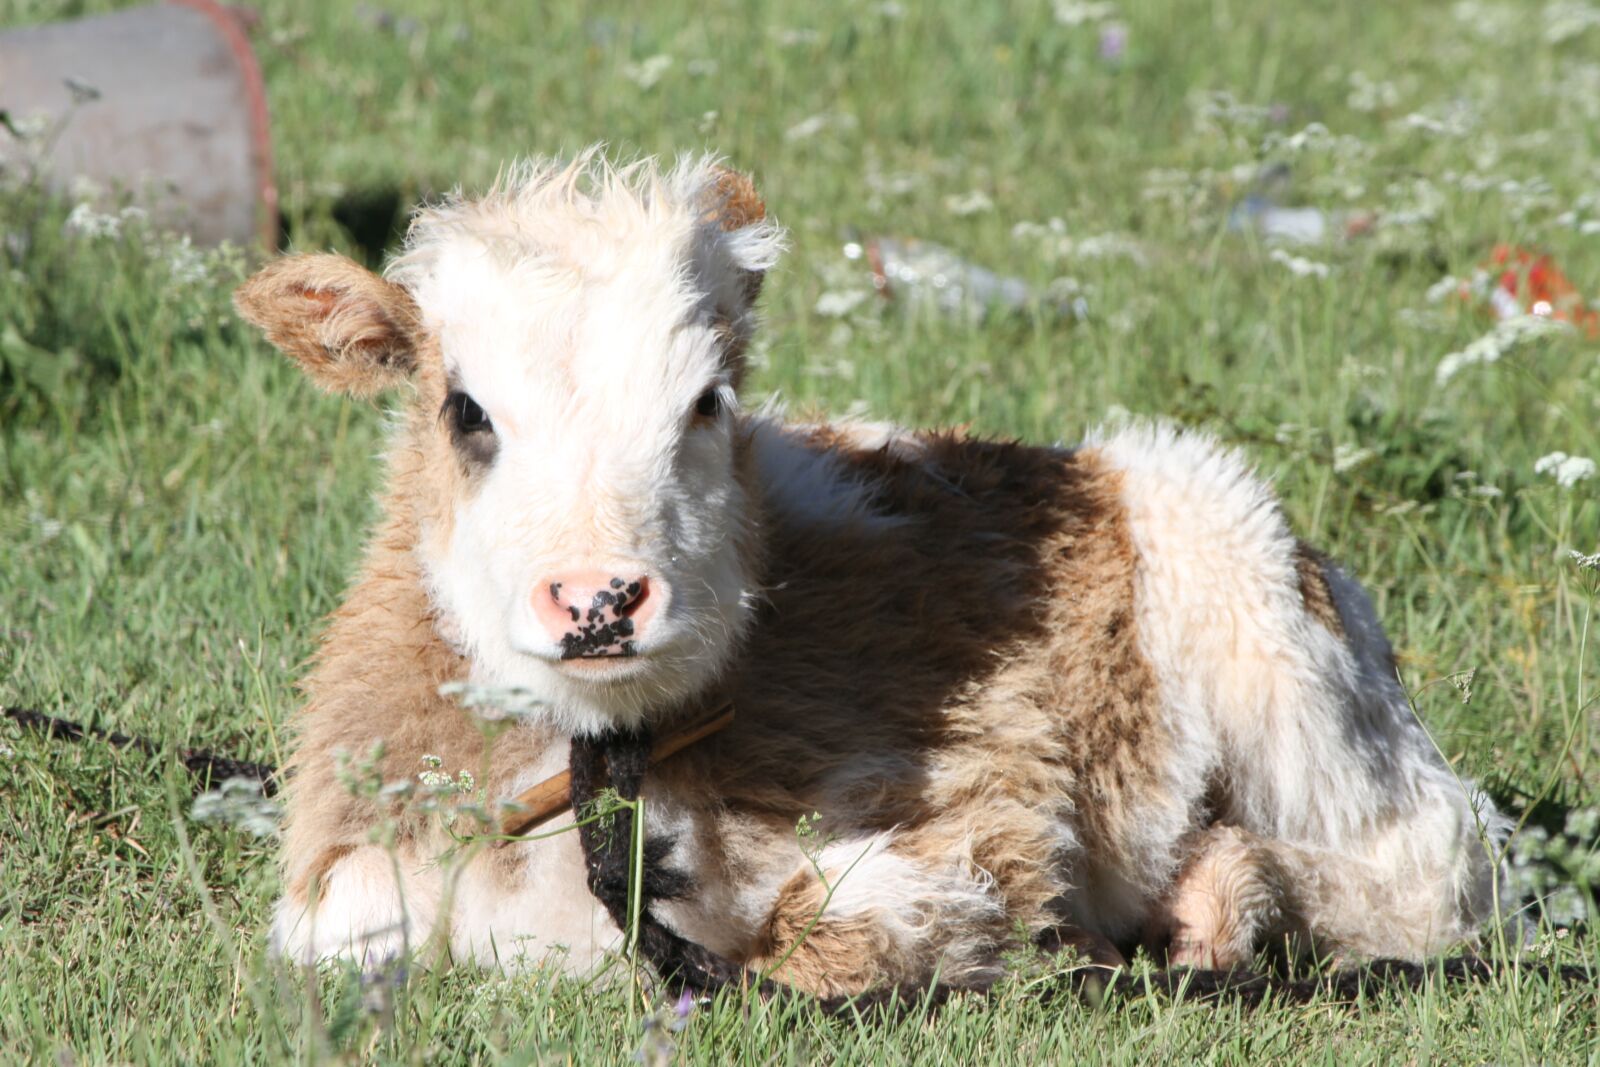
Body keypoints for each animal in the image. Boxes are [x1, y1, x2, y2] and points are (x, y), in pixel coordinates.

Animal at [233, 150, 1509, 996]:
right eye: (462, 409)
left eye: (708, 401)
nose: (599, 600)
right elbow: (343, 918)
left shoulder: (986, 819)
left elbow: (833, 922)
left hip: (1273, 643)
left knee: (1441, 864)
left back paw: (1223, 897)